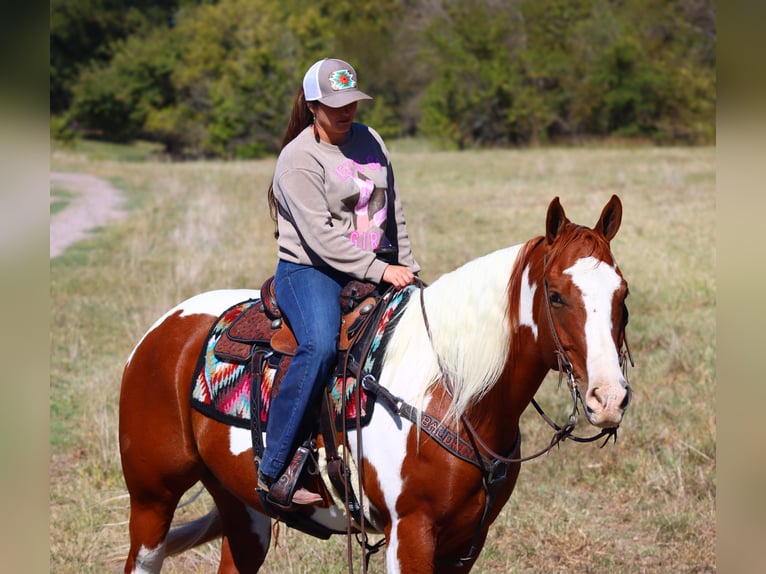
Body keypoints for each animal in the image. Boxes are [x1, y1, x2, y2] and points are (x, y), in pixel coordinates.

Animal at [120, 196, 632, 572]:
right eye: (555, 296)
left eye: (623, 295)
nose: (608, 398)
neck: (451, 395)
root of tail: (162, 329)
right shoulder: (411, 533)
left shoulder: (467, 541)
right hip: (151, 501)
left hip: (244, 508)